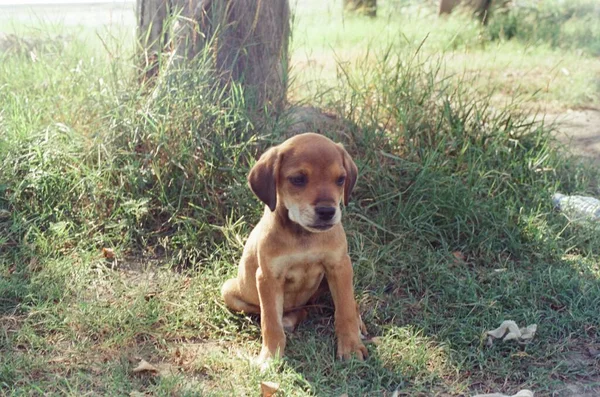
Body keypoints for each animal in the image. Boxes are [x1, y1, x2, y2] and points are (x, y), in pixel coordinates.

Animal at [223, 132, 368, 366]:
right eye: (298, 179)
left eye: (340, 179)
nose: (327, 212)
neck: (303, 236)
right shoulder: (268, 278)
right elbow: (270, 322)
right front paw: (270, 356)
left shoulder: (339, 266)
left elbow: (345, 309)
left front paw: (351, 347)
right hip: (228, 289)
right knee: (295, 311)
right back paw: (289, 319)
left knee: (340, 304)